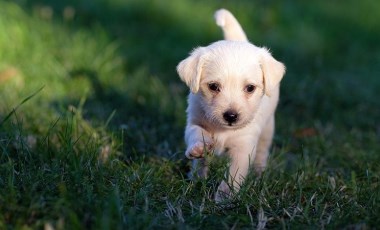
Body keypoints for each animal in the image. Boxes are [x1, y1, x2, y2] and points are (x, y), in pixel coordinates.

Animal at [177, 8, 284, 201]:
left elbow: (233, 174)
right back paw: (196, 178)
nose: (231, 116)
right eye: (213, 86)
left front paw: (224, 198)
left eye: (250, 88)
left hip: (268, 129)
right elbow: (196, 133)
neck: (223, 130)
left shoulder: (243, 147)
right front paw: (198, 147)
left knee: (262, 152)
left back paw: (259, 173)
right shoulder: (194, 121)